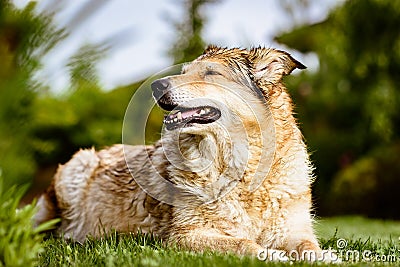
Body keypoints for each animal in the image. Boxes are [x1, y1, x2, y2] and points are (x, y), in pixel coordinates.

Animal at [34, 45, 326, 262]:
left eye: (211, 73)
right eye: (184, 71)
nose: (156, 85)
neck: (241, 168)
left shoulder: (294, 229)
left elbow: (310, 247)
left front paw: (326, 257)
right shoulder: (185, 235)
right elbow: (243, 244)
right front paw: (274, 255)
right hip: (75, 169)